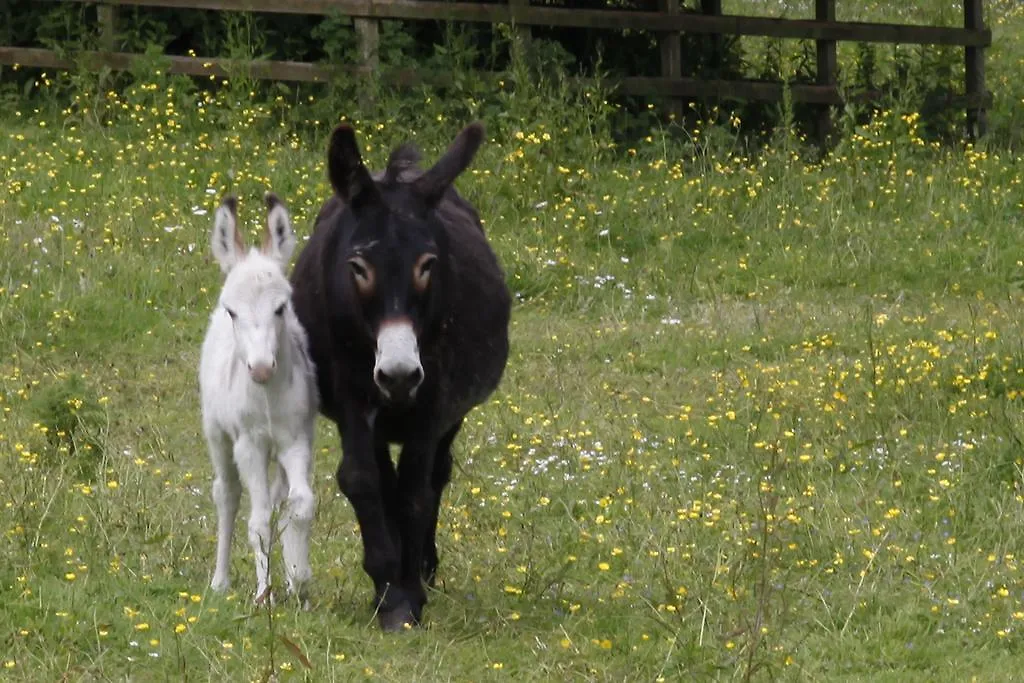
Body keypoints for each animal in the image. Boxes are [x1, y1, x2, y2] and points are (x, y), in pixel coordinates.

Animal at [196, 192, 315, 602]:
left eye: (281, 307)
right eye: (232, 311)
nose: (261, 369)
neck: (266, 398)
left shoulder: (296, 439)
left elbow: (300, 504)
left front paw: (298, 579)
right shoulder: (249, 444)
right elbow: (259, 520)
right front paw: (264, 595)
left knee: (280, 497)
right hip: (217, 436)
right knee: (227, 494)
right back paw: (219, 581)